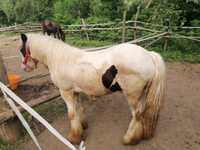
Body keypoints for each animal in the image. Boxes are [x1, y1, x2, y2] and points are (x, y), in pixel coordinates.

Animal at [18, 33, 166, 145]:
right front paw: (83, 127)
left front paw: (74, 138)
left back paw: (129, 139)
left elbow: (72, 114)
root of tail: (148, 55)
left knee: (137, 115)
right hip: (142, 94)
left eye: (21, 50)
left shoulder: (66, 92)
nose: (24, 68)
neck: (61, 59)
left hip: (132, 96)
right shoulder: (75, 92)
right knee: (141, 114)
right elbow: (79, 109)